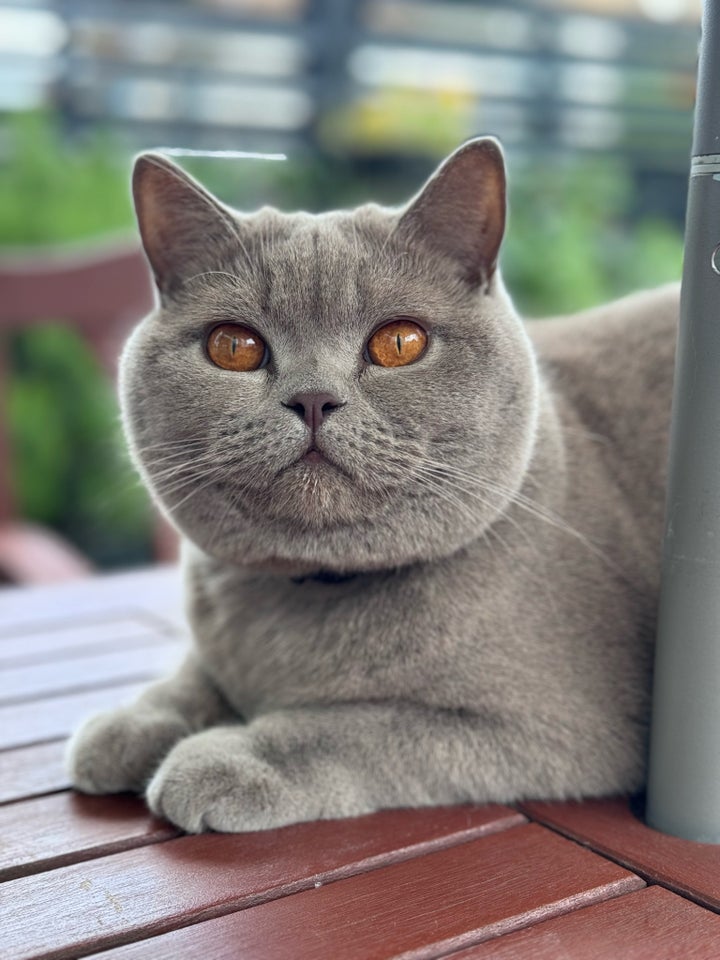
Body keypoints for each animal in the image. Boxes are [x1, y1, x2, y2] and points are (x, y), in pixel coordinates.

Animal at [64, 139, 676, 836]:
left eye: (400, 342)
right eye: (234, 346)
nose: (312, 397)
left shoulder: (554, 726)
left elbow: (349, 727)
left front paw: (225, 759)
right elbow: (195, 674)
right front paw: (132, 722)